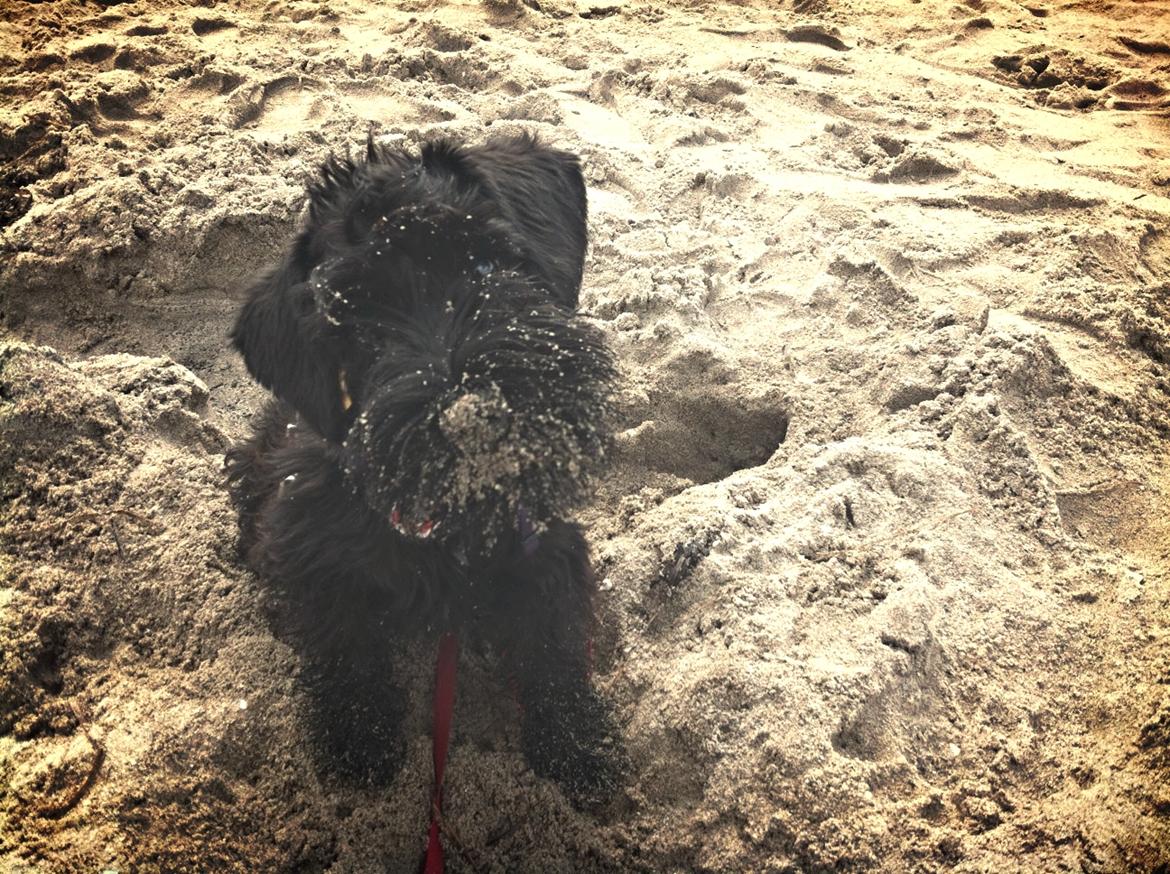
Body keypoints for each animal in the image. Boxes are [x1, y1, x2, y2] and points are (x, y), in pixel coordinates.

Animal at [221, 133, 622, 804]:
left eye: (484, 263)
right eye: (357, 326)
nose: (471, 414)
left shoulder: (542, 544)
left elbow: (555, 644)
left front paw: (581, 750)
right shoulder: (311, 549)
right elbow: (344, 647)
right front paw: (359, 746)